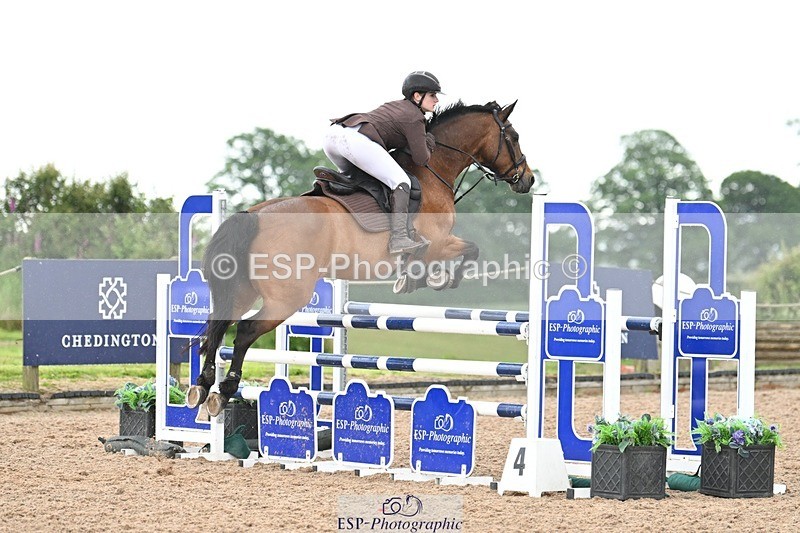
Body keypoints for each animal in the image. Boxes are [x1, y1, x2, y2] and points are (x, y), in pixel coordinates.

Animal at [188, 100, 536, 416]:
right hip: (286, 298)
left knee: (218, 327)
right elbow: (469, 250)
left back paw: (203, 386)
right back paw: (226, 388)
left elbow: (464, 252)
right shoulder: (437, 243)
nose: (528, 179)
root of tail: (253, 215)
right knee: (245, 331)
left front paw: (420, 279)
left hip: (243, 291)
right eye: (514, 136)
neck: (433, 169)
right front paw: (434, 280)